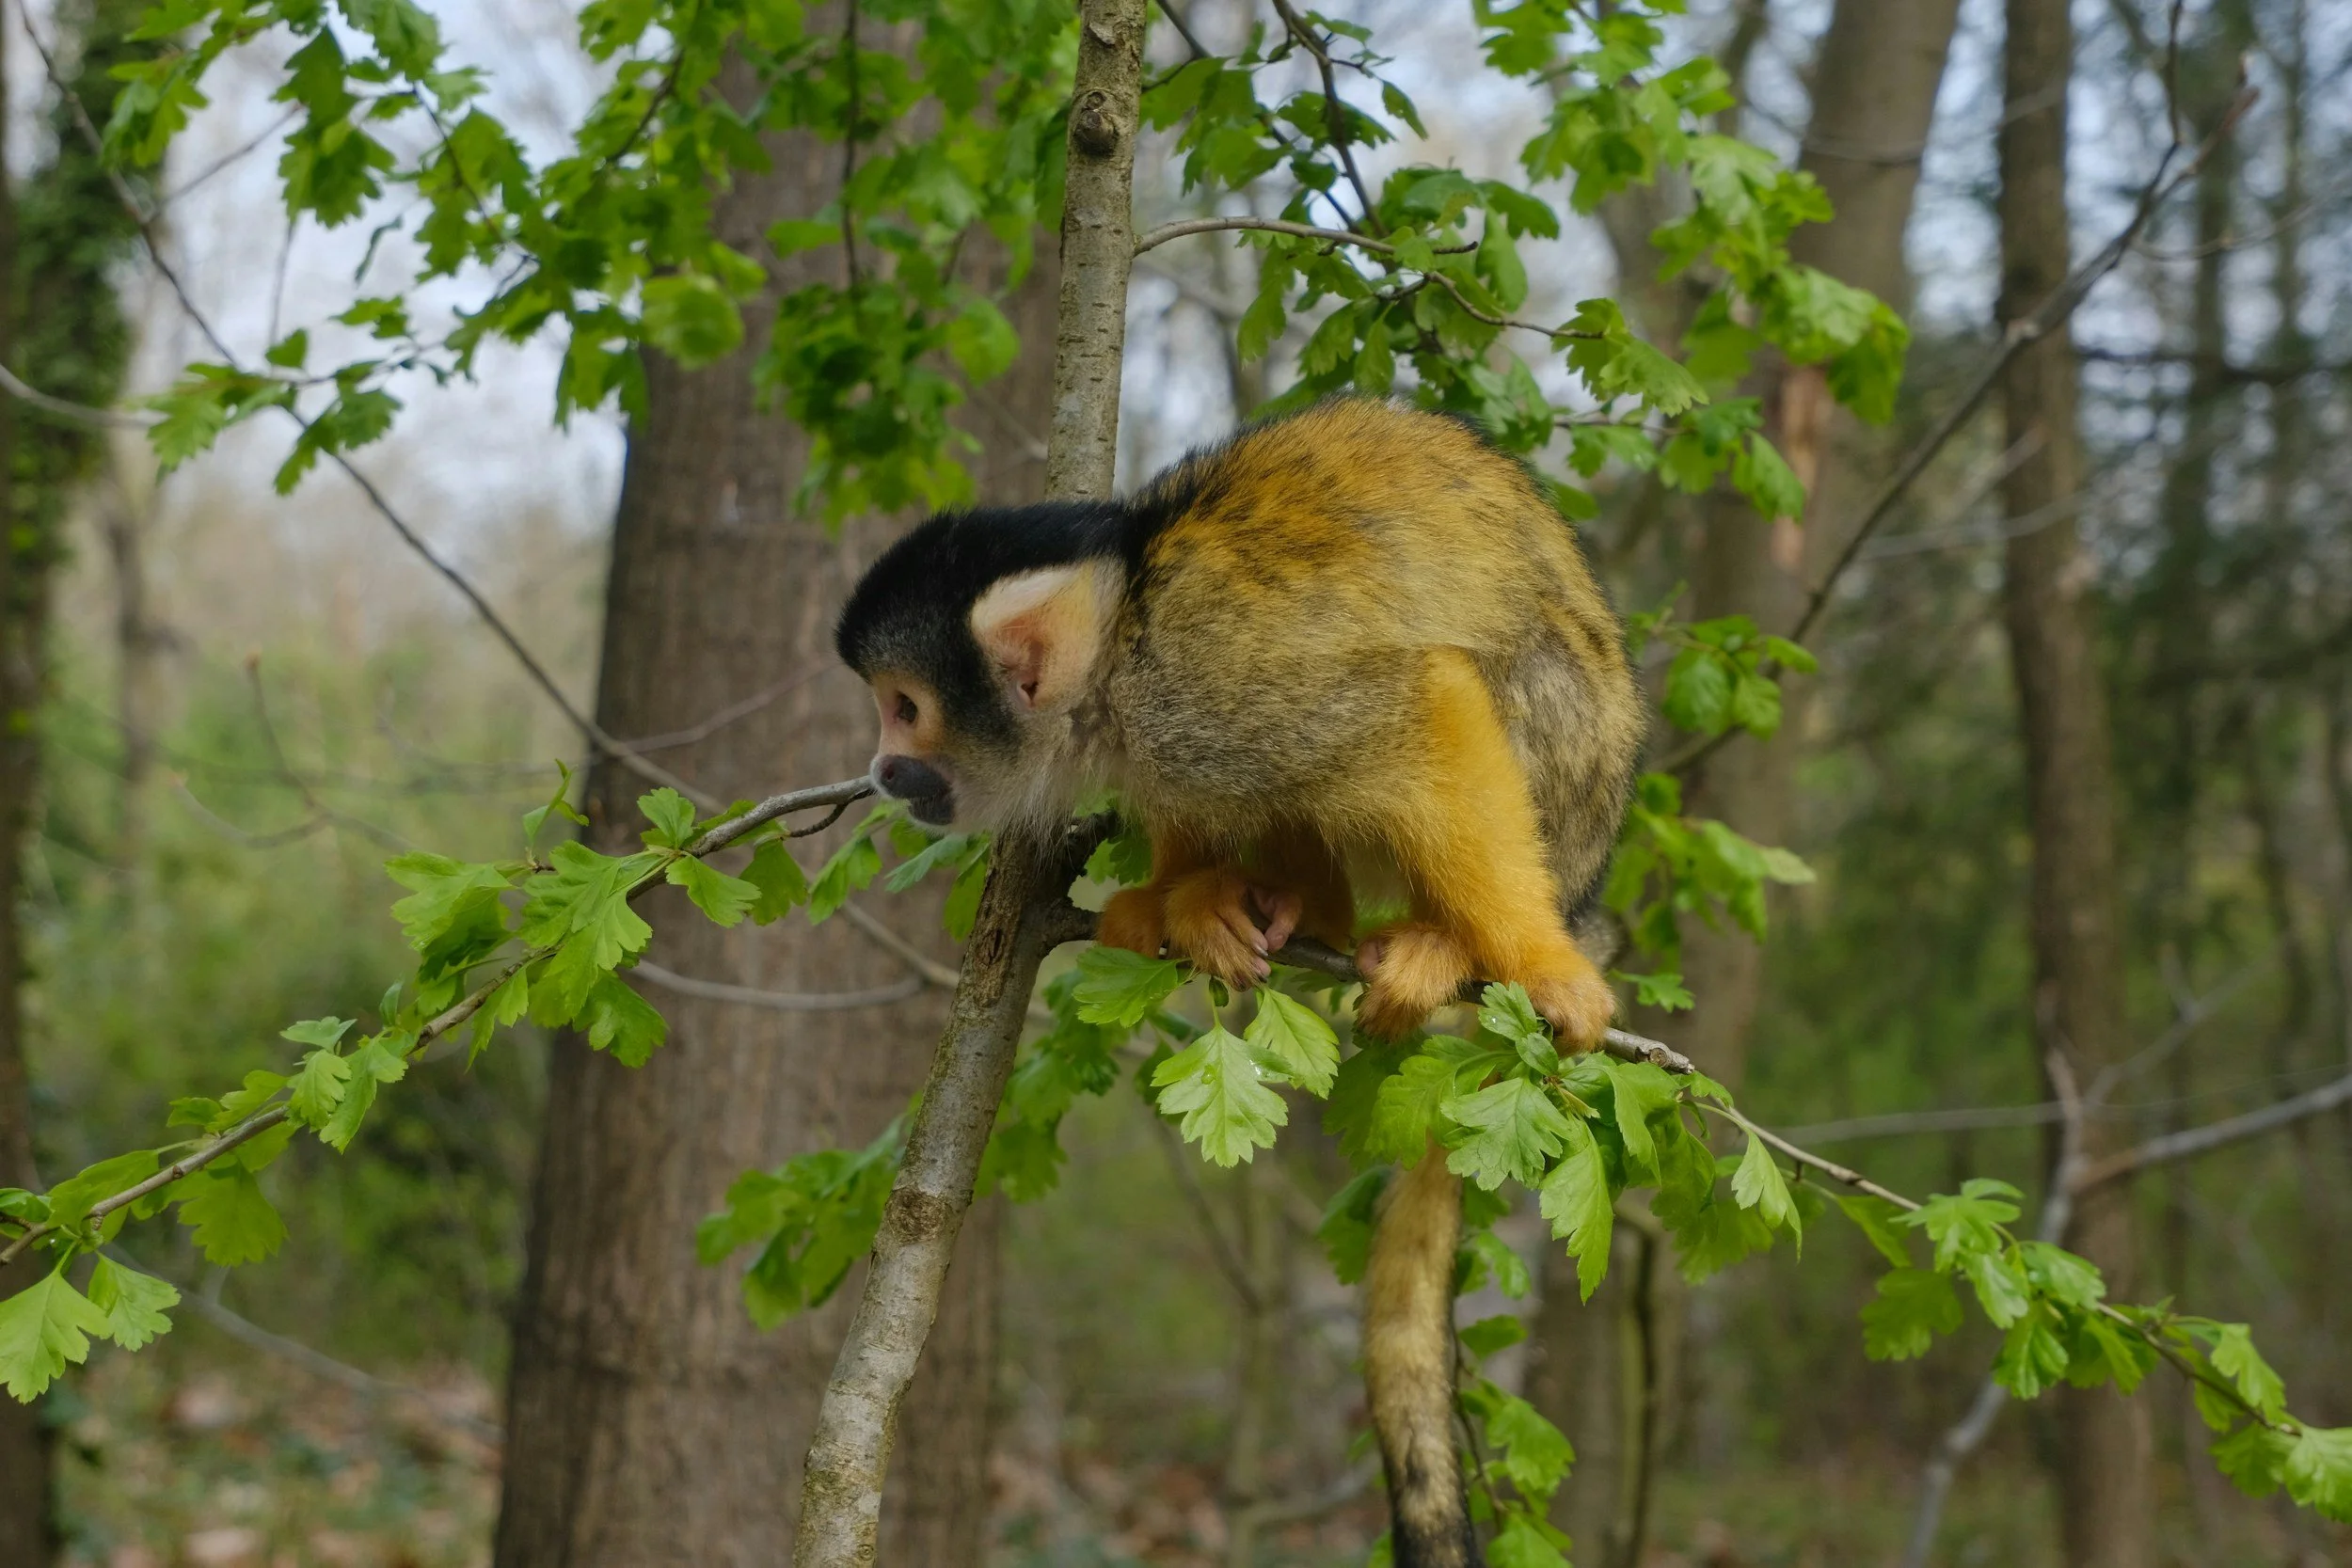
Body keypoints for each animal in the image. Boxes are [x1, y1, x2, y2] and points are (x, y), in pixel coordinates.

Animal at [835, 397, 1643, 1568]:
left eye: (903, 708)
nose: (881, 771)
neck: (1119, 650)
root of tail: (1591, 876)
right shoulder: (1168, 729)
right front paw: (1180, 896)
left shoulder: (1202, 687)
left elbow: (1415, 705)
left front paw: (1534, 962)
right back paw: (1290, 903)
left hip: (1569, 795)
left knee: (1495, 687)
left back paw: (1451, 942)